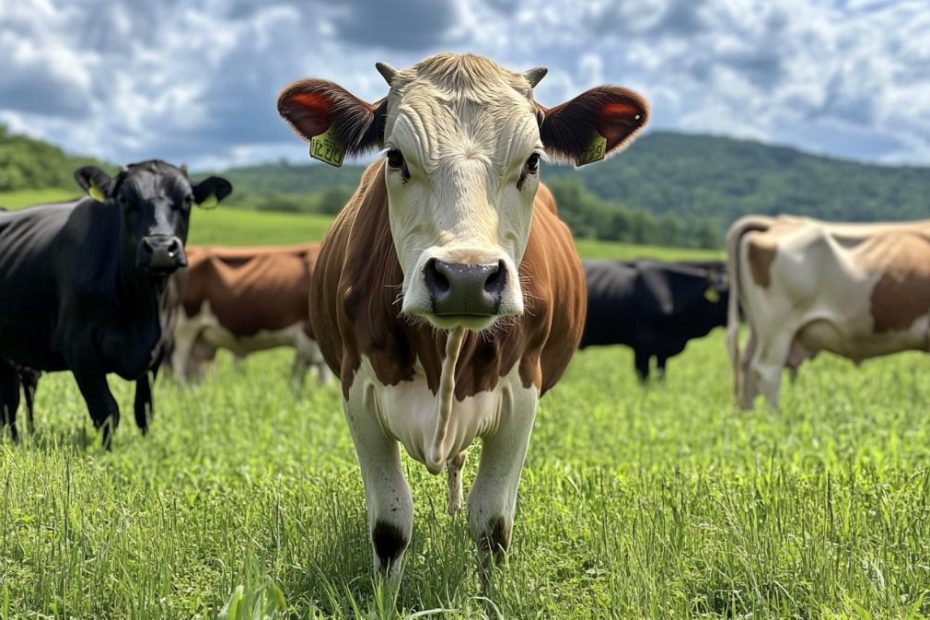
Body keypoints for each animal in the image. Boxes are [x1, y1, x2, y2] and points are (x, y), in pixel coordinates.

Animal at [0, 160, 230, 446]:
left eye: (187, 199)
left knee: (9, 399)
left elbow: (144, 409)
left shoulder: (161, 346)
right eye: (124, 199)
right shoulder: (78, 343)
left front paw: (144, 447)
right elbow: (106, 410)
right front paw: (106, 453)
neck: (142, 307)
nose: (160, 248)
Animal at [170, 242, 330, 388]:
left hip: (200, 341)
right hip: (183, 331)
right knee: (178, 368)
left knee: (193, 372)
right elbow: (306, 377)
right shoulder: (309, 336)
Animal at [276, 53, 644, 576]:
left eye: (533, 160)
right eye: (394, 157)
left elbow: (491, 523)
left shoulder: (522, 396)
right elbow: (390, 525)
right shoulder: (357, 392)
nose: (467, 276)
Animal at [728, 216, 930, 410]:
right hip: (778, 327)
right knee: (766, 371)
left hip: (758, 329)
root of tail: (779, 223)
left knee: (747, 368)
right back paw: (774, 417)